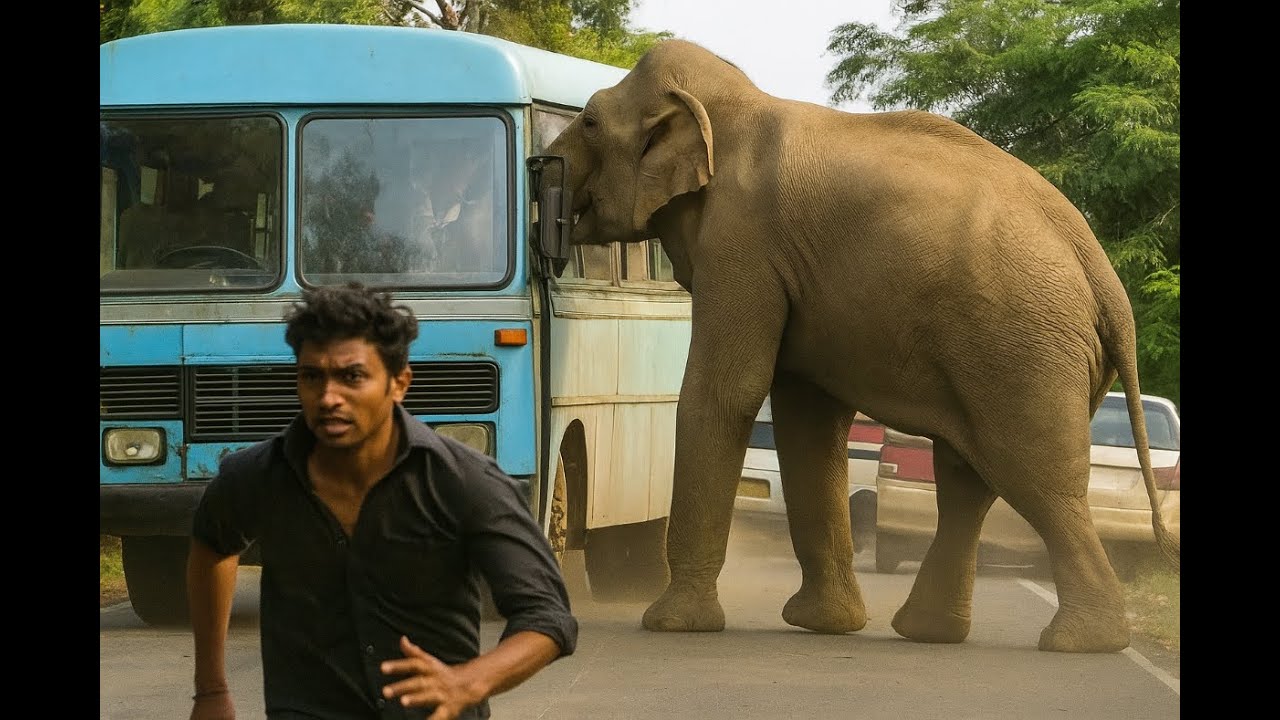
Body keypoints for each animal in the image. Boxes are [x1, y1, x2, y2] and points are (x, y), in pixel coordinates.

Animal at [540, 39, 1179, 654]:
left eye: (590, 121)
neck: (733, 106)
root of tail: (1101, 272)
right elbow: (808, 419)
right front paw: (824, 625)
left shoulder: (742, 241)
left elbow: (727, 392)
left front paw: (673, 625)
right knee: (969, 476)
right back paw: (931, 632)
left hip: (1023, 346)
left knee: (1032, 474)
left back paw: (1081, 642)